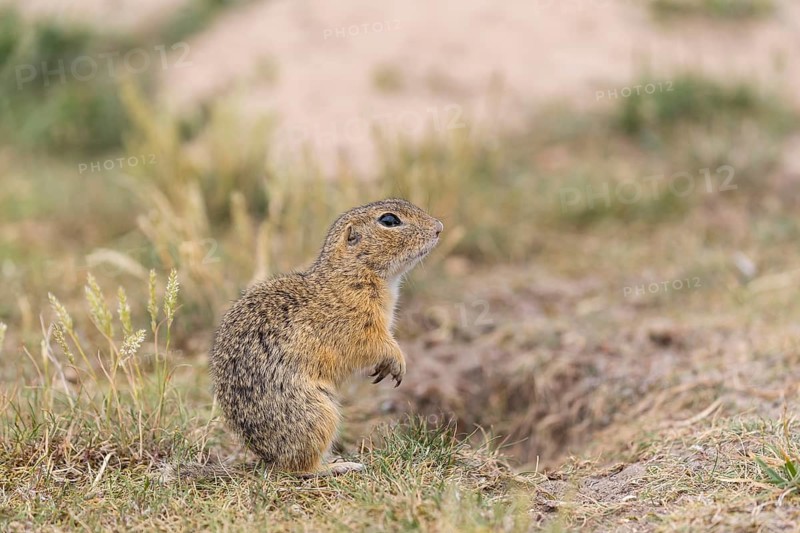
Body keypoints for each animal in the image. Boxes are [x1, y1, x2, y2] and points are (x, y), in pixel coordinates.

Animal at [165, 199, 443, 481]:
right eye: (389, 220)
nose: (439, 227)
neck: (353, 272)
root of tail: (267, 459)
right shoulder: (360, 325)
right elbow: (375, 344)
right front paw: (397, 361)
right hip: (319, 414)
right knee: (298, 468)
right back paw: (338, 465)